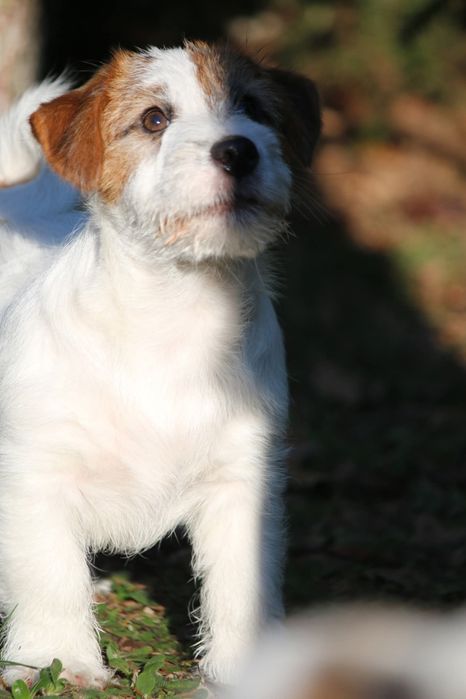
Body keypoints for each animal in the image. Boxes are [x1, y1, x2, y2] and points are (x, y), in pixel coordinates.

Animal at [0, 41, 321, 688]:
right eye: (154, 119)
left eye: (254, 108)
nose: (238, 149)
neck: (173, 312)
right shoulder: (35, 473)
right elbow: (47, 573)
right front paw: (57, 658)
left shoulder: (241, 480)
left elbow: (239, 585)